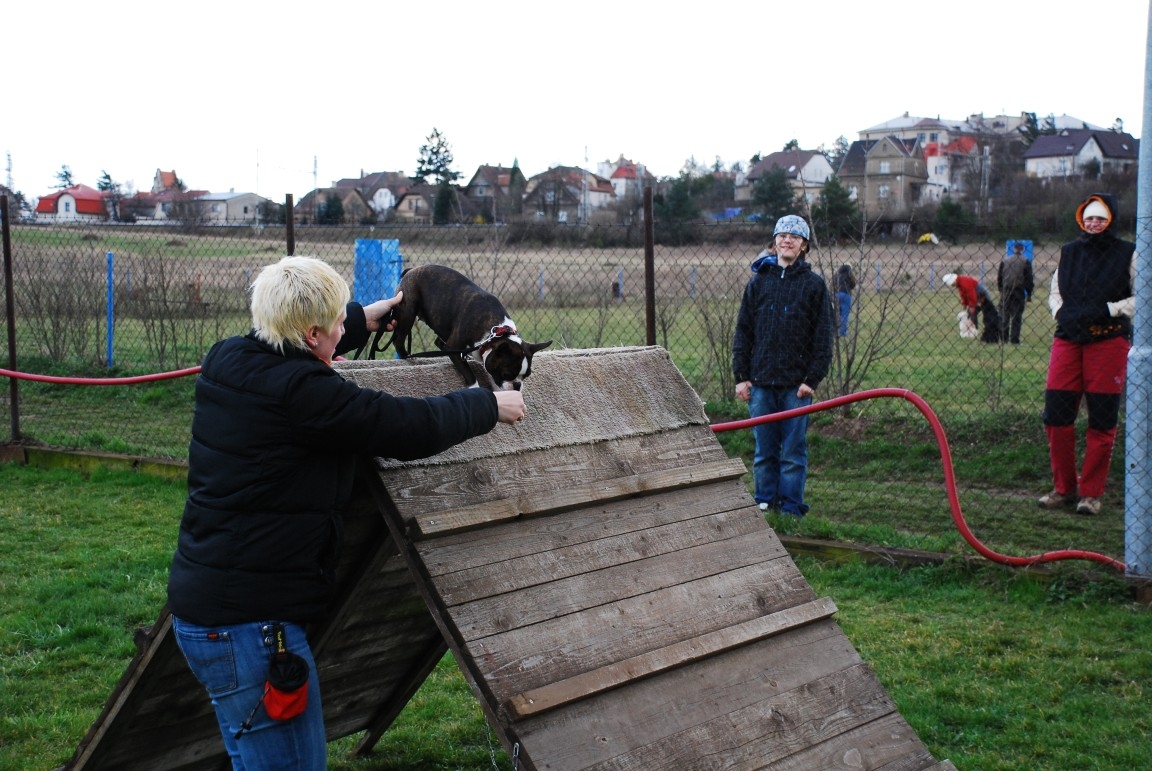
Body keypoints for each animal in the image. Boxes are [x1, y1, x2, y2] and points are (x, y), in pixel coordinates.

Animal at [384, 265, 550, 391]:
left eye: (526, 376)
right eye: (507, 374)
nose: (517, 385)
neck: (496, 331)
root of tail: (412, 270)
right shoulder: (455, 346)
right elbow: (469, 373)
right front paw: (475, 388)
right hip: (408, 312)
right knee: (399, 340)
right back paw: (407, 357)